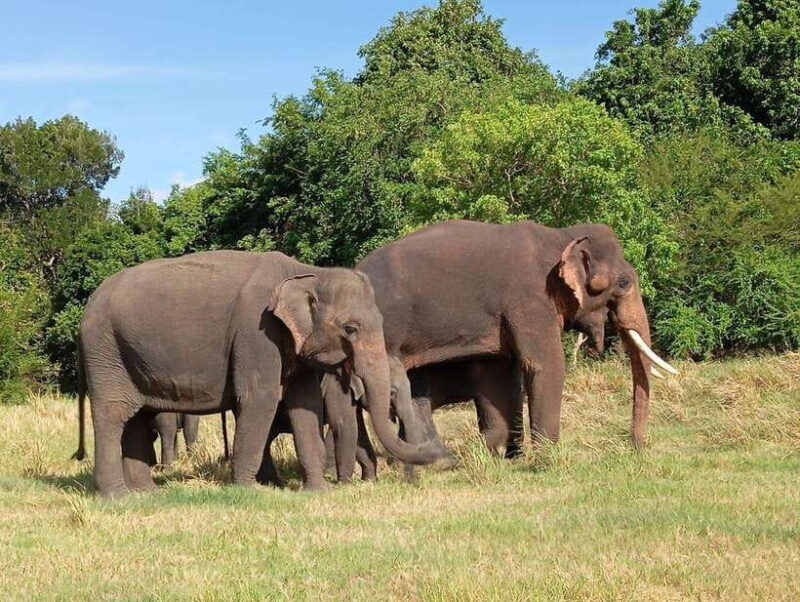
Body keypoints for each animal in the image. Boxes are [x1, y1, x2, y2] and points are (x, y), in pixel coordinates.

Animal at [73, 250, 441, 497]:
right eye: (350, 329)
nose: (442, 455)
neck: (307, 272)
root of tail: (89, 304)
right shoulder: (257, 332)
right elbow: (259, 397)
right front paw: (247, 493)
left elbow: (305, 406)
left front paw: (317, 492)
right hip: (105, 351)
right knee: (113, 414)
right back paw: (117, 497)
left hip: (130, 354)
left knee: (138, 416)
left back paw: (147, 493)